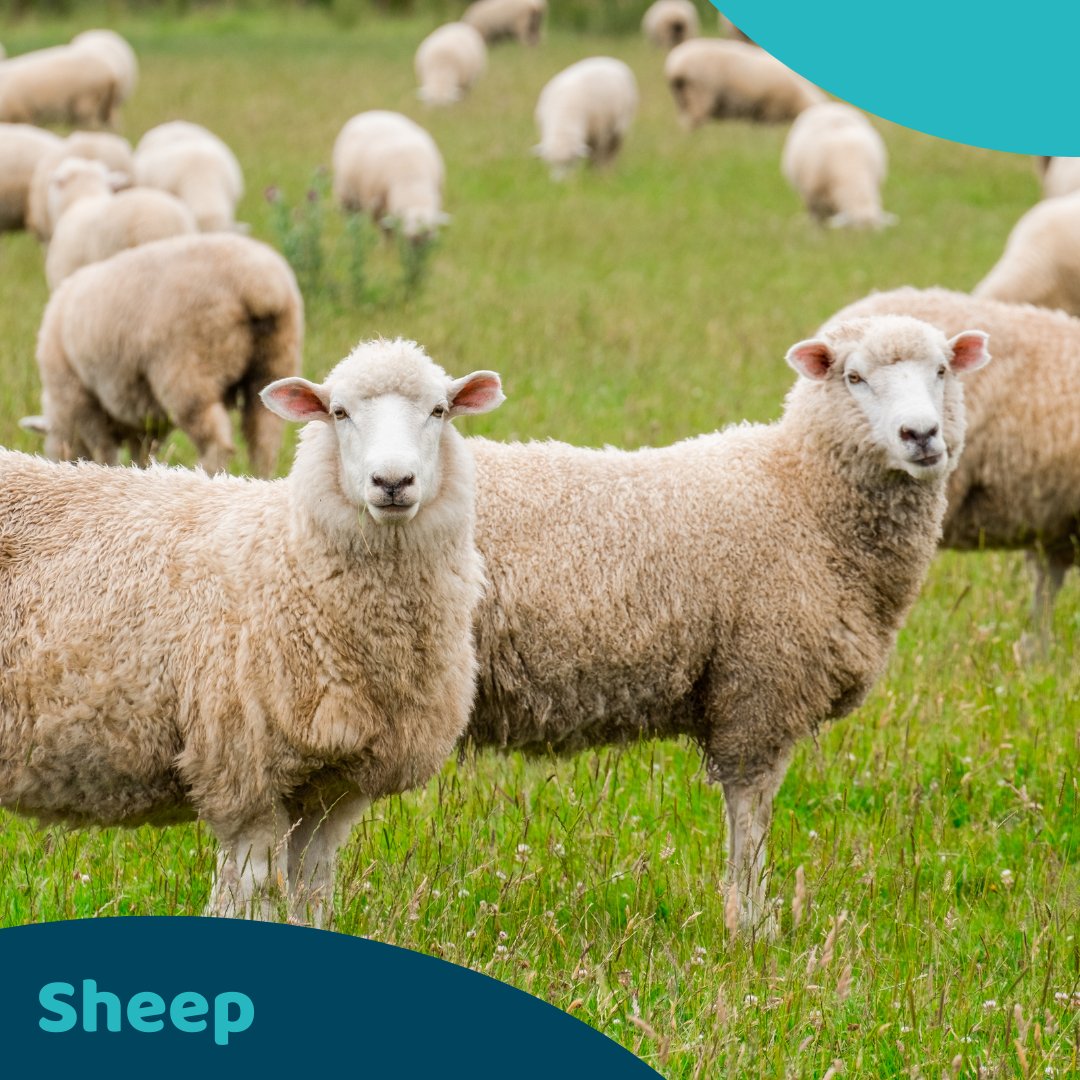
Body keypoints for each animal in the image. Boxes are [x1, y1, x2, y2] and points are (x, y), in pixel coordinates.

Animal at [0, 340, 505, 921]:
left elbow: (312, 892)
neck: (289, 558)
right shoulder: (244, 772)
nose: (393, 483)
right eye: (339, 412)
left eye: (439, 411)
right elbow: (253, 892)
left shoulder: (332, 788)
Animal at [29, 233, 303, 478]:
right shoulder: (144, 419)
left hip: (190, 367)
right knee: (264, 440)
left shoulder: (80, 400)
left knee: (217, 444)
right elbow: (142, 454)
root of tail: (259, 286)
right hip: (275, 361)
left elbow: (104, 451)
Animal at [332, 110, 447, 241]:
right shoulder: (377, 208)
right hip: (346, 196)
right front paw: (388, 245)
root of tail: (372, 112)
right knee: (350, 218)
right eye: (405, 221)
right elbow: (386, 231)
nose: (419, 234)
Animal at [466, 316, 989, 929]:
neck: (802, 493)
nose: (921, 435)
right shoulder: (759, 685)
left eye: (942, 369)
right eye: (854, 377)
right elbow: (750, 813)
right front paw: (752, 923)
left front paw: (749, 914)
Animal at [665, 39, 824, 128]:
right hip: (699, 92)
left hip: (681, 96)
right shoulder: (772, 109)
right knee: (693, 121)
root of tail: (676, 65)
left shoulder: (760, 113)